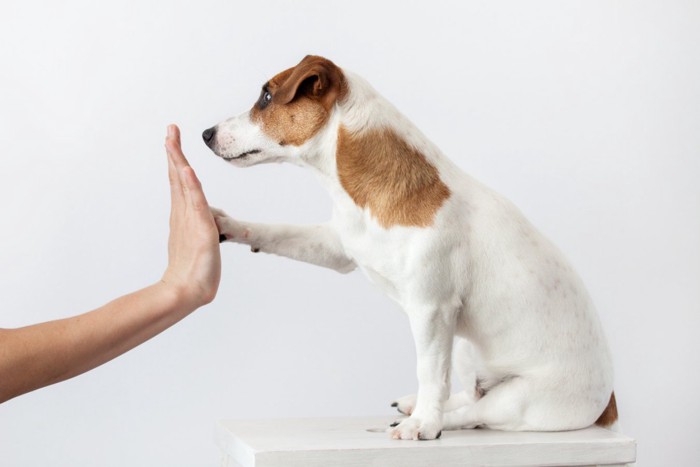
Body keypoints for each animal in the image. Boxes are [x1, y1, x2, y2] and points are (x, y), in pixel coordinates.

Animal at [204, 55, 616, 442]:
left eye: (266, 97)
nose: (206, 133)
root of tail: (609, 404)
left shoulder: (431, 310)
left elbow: (430, 372)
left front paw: (424, 425)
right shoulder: (338, 247)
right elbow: (279, 233)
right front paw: (225, 224)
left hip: (519, 400)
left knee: (476, 413)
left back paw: (430, 418)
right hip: (464, 348)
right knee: (467, 395)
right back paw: (415, 404)